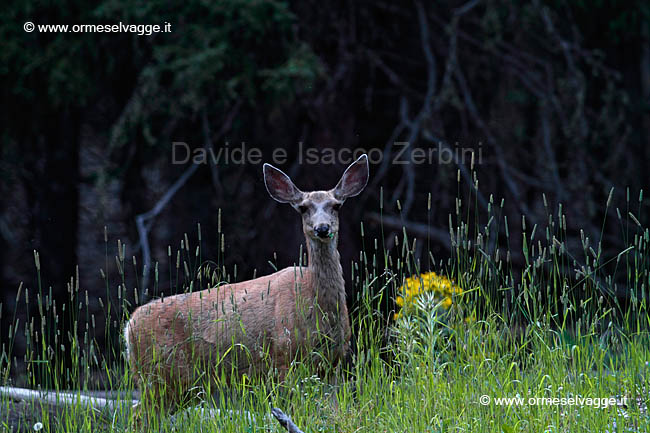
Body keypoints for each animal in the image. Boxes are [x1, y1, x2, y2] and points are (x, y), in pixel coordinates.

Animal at [121, 154, 364, 414]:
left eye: (336, 205)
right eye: (303, 208)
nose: (322, 228)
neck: (315, 301)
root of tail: (129, 326)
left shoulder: (333, 362)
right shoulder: (284, 355)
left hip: (177, 384)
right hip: (160, 374)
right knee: (139, 414)